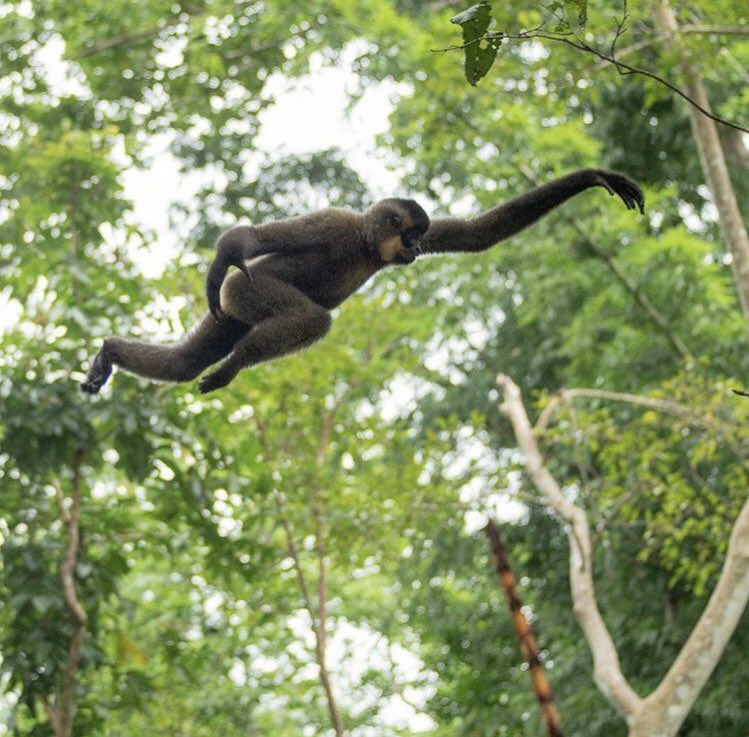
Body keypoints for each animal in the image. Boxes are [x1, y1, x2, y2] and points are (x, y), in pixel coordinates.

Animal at [80, 169, 644, 395]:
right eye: (410, 236)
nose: (414, 250)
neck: (367, 247)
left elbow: (480, 234)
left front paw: (593, 178)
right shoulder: (336, 224)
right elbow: (254, 239)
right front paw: (225, 256)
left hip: (231, 312)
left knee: (185, 362)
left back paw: (111, 351)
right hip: (243, 293)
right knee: (308, 318)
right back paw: (233, 365)